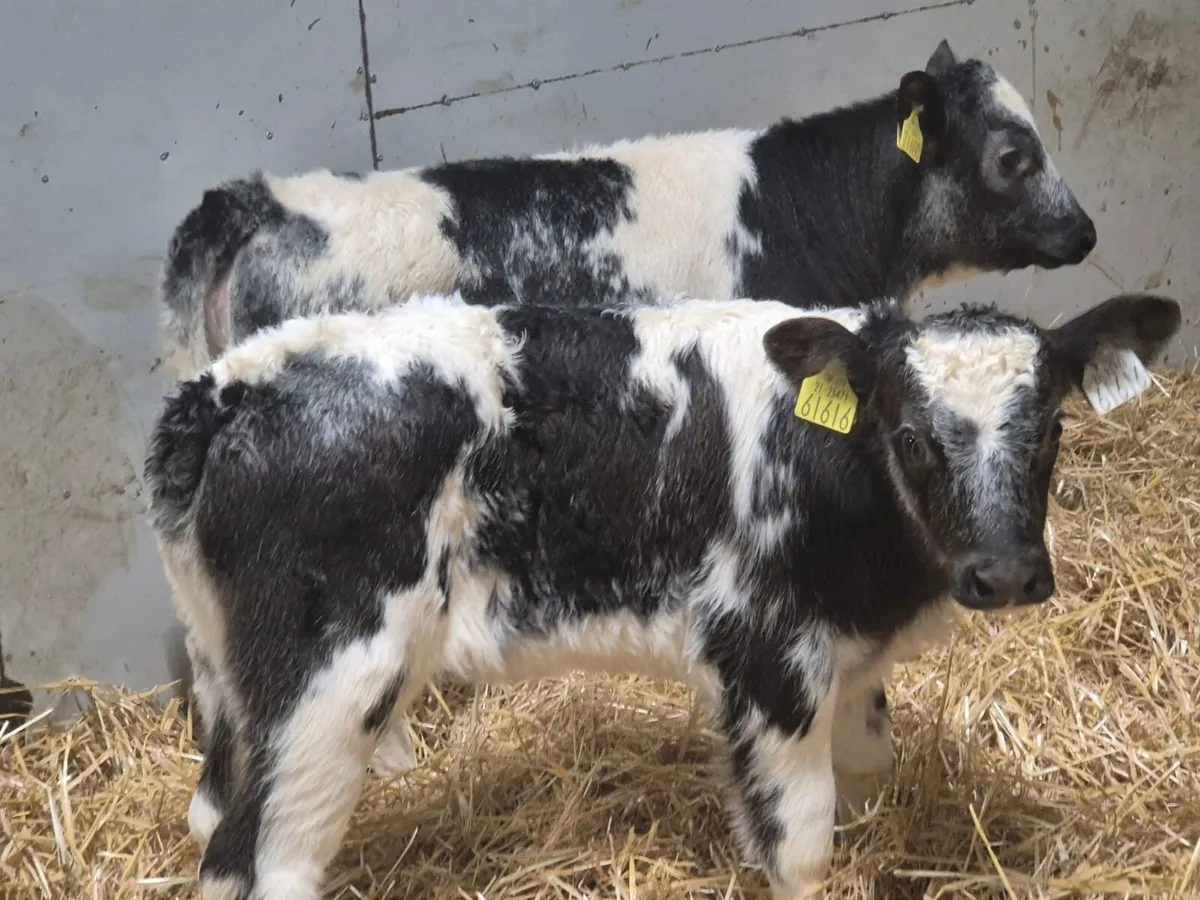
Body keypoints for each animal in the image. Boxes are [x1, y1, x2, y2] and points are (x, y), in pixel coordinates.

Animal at [144, 288, 1180, 900]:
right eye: (913, 435)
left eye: (1053, 427)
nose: (1003, 573)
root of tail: (225, 388)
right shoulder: (766, 652)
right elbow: (801, 841)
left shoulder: (846, 656)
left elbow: (868, 772)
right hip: (331, 678)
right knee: (257, 858)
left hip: (234, 682)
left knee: (212, 819)